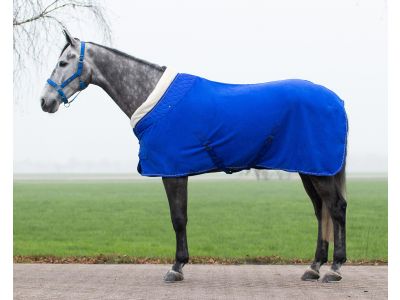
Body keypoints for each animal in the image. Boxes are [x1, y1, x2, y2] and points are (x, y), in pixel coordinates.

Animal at [40, 31, 346, 284]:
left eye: (63, 63)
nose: (45, 101)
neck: (155, 99)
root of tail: (337, 101)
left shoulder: (173, 171)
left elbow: (178, 218)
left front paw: (176, 268)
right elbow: (180, 217)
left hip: (318, 170)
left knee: (336, 208)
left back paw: (334, 269)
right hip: (310, 169)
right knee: (321, 211)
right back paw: (314, 267)